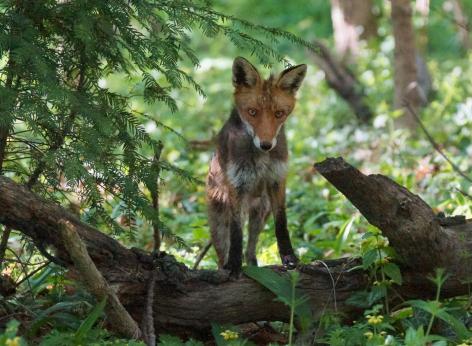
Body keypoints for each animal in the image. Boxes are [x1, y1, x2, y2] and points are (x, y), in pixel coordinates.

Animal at [206, 58, 306, 278]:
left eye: (279, 114)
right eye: (252, 112)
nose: (266, 145)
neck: (262, 159)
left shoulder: (277, 179)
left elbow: (282, 223)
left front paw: (289, 258)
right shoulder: (237, 185)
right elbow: (236, 233)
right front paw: (234, 266)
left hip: (261, 213)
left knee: (250, 250)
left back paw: (254, 267)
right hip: (219, 220)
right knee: (222, 254)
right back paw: (227, 265)